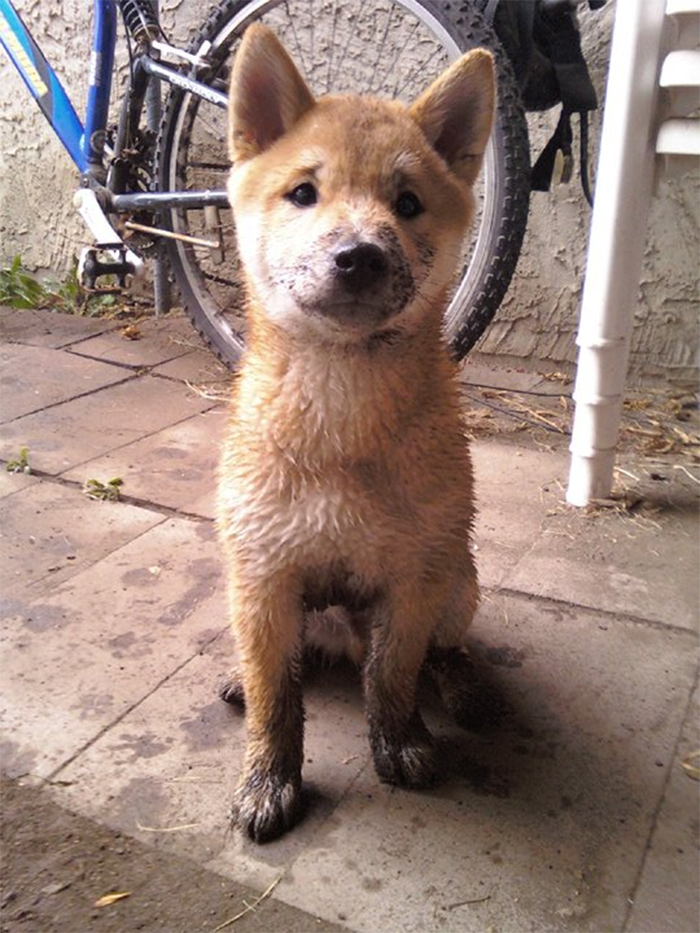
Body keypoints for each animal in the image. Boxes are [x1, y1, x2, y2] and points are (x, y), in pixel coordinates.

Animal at [217, 23, 496, 843]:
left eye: (407, 203)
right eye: (304, 192)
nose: (360, 255)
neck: (340, 417)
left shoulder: (414, 579)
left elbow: (394, 674)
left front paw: (398, 739)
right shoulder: (264, 575)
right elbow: (278, 702)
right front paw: (268, 779)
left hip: (460, 579)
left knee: (442, 647)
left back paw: (463, 683)